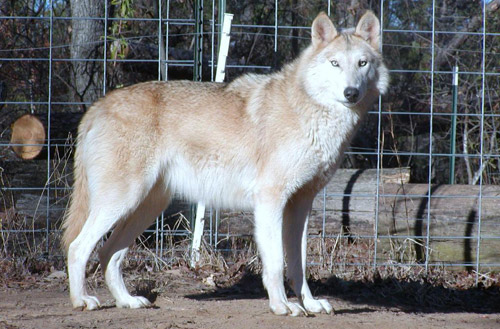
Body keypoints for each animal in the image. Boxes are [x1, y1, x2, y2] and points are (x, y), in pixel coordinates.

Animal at [62, 10, 388, 316]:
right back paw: (82, 301)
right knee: (78, 247)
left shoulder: (300, 205)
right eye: (334, 63)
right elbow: (275, 264)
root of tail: (96, 107)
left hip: (145, 207)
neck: (310, 111)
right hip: (122, 202)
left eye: (362, 63)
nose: (351, 93)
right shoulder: (270, 201)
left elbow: (298, 265)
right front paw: (282, 306)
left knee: (109, 253)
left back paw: (127, 301)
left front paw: (309, 304)